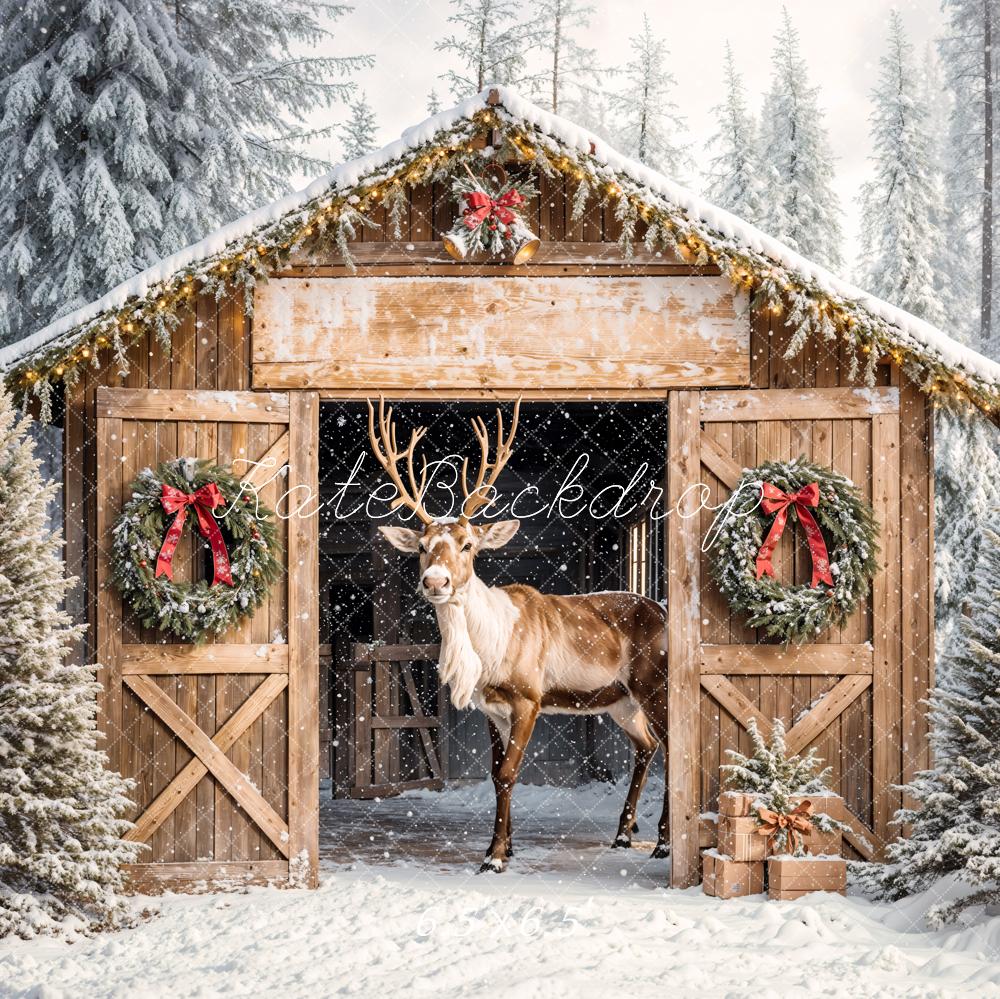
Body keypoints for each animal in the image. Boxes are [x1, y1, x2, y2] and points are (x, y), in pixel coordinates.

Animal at [368, 397, 670, 872]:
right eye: (420, 547)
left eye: (468, 544)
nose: (435, 581)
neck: (489, 652)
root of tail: (664, 612)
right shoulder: (491, 708)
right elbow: (495, 774)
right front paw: (505, 846)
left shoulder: (529, 698)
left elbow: (509, 772)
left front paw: (494, 857)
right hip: (620, 699)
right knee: (647, 744)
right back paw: (623, 834)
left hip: (654, 683)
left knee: (675, 745)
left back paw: (662, 843)